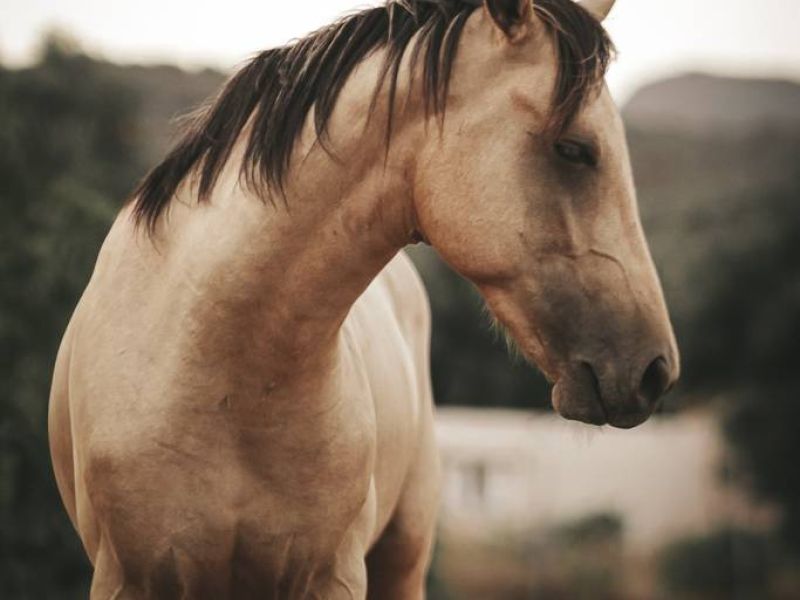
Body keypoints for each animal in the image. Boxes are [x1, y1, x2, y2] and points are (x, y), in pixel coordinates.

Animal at [48, 0, 679, 597]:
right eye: (574, 149)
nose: (657, 370)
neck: (218, 374)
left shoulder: (332, 577)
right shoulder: (129, 579)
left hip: (404, 555)